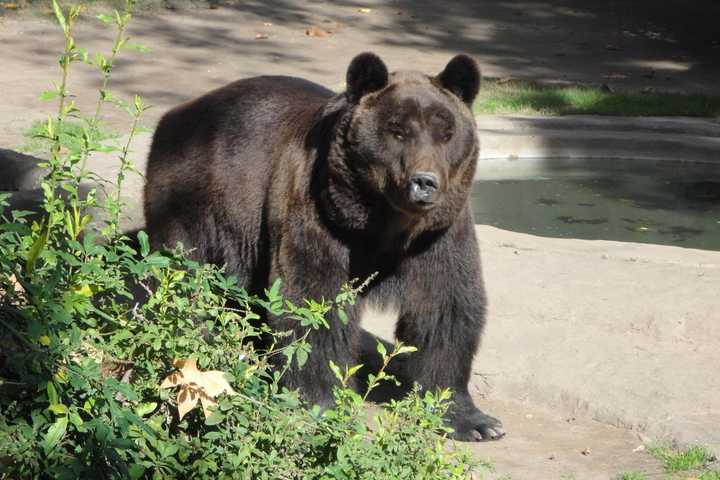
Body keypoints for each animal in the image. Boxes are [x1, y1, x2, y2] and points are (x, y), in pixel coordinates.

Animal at [143, 53, 504, 442]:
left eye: (445, 133)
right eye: (397, 131)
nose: (424, 182)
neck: (383, 223)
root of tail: (176, 113)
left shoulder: (439, 235)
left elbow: (445, 308)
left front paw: (472, 419)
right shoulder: (320, 217)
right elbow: (313, 304)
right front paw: (321, 403)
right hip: (198, 199)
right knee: (185, 274)